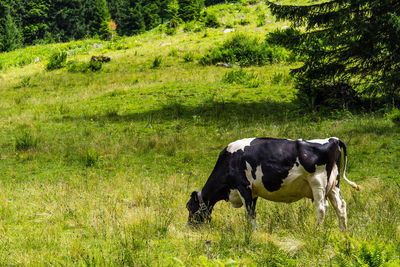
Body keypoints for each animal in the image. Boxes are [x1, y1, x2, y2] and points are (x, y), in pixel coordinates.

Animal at [186, 138, 360, 230]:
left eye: (189, 207)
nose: (190, 226)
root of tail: (333, 140)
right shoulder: (253, 192)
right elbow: (253, 212)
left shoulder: (244, 187)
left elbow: (249, 213)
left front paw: (252, 233)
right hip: (334, 185)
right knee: (341, 206)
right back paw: (343, 232)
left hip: (318, 183)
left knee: (322, 208)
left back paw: (316, 231)